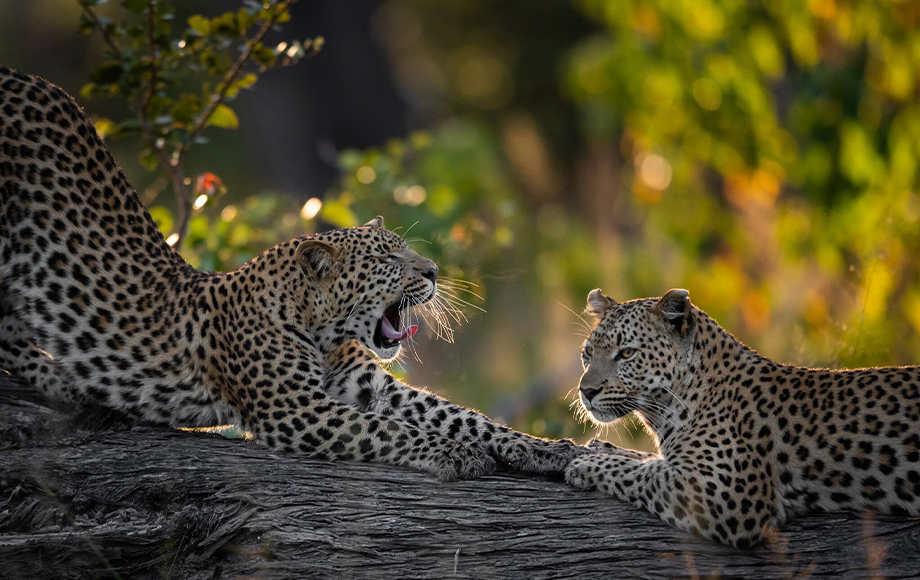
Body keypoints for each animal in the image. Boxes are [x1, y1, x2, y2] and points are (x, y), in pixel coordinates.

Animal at [0, 64, 576, 480]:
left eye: (406, 254)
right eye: (389, 260)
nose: (434, 271)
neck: (319, 326)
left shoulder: (369, 384)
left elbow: (463, 415)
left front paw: (544, 448)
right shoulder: (297, 409)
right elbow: (392, 431)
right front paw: (454, 453)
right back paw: (66, 380)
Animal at [560, 288, 920, 548]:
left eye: (627, 353)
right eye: (588, 353)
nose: (586, 391)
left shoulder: (726, 492)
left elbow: (644, 474)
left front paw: (587, 465)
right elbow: (649, 460)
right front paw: (601, 449)